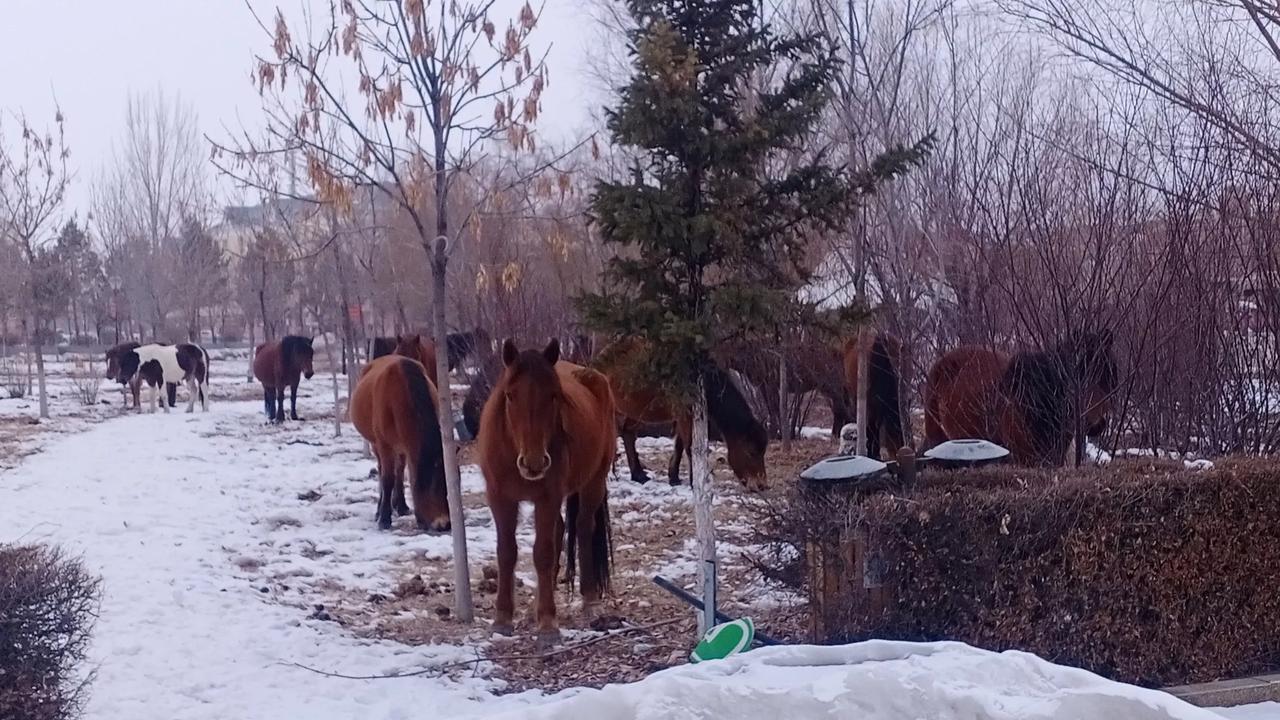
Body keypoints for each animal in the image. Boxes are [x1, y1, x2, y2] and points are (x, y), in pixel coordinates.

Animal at [350, 356, 450, 530]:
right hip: (376, 443)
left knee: (400, 470)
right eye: (432, 486)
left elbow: (400, 473)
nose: (444, 523)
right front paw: (384, 519)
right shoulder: (384, 444)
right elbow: (387, 478)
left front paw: (400, 507)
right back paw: (380, 509)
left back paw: (400, 505)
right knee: (382, 470)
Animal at [481, 335, 619, 645]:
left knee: (582, 528)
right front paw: (503, 618)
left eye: (554, 396)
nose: (533, 462)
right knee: (560, 530)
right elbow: (506, 551)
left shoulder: (548, 497)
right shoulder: (500, 499)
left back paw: (589, 600)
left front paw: (547, 624)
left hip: (594, 482)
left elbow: (542, 553)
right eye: (510, 395)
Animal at [593, 335, 762, 486]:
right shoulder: (684, 414)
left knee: (628, 434)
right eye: (751, 452)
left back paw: (638, 475)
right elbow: (690, 446)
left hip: (634, 409)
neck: (701, 379)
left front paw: (674, 477)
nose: (761, 485)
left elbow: (679, 446)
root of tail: (598, 360)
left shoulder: (685, 415)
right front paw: (695, 481)